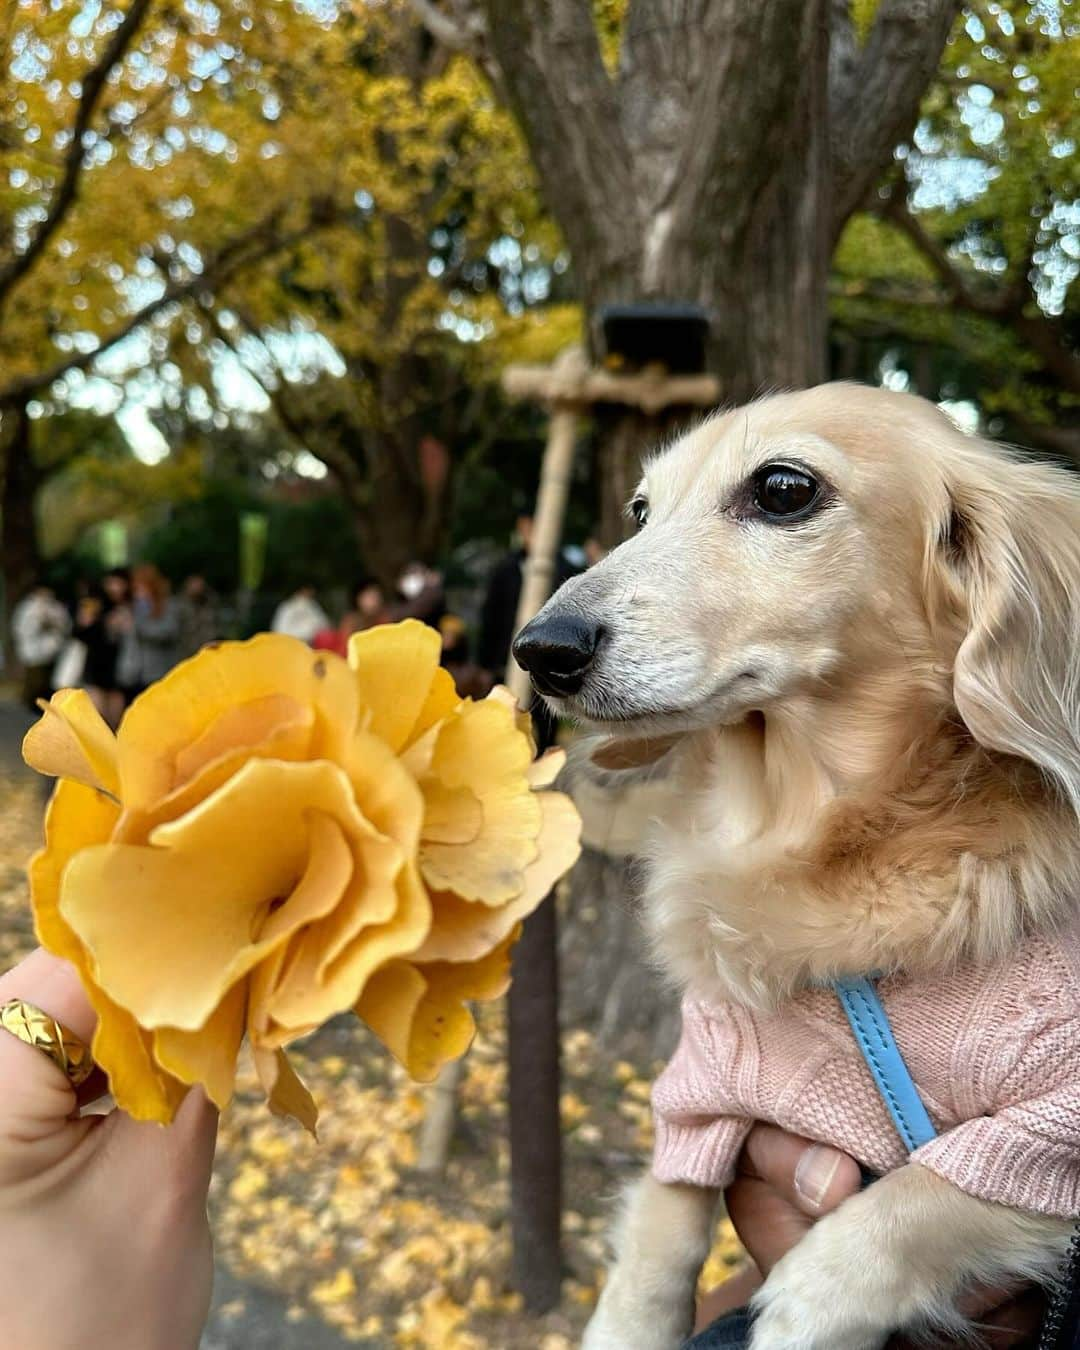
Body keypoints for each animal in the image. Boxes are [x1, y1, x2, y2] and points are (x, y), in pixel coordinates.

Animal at [510, 383, 1074, 1350]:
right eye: (640, 510)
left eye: (782, 489)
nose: (541, 649)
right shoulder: (706, 1073)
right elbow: (664, 1216)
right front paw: (628, 1320)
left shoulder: (1053, 1123)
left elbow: (932, 1194)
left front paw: (813, 1299)